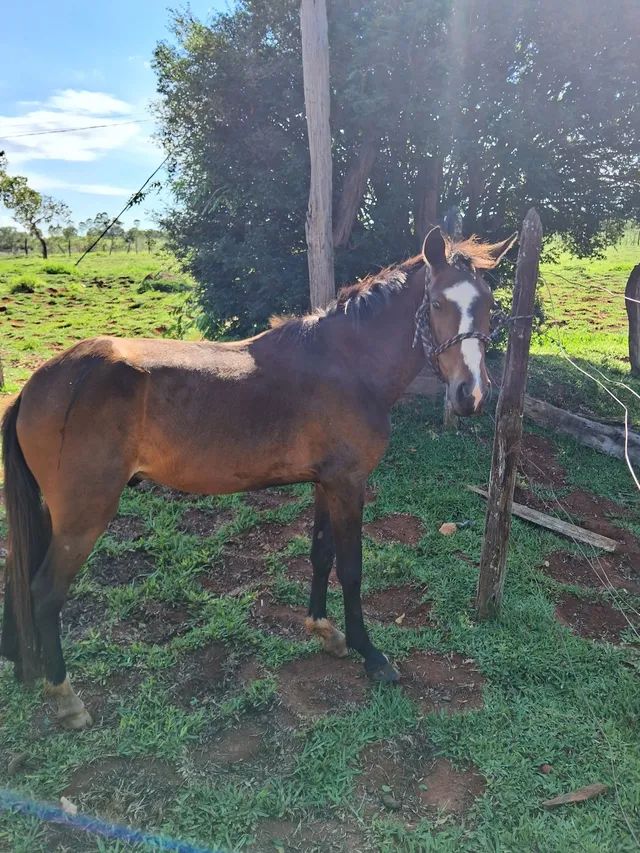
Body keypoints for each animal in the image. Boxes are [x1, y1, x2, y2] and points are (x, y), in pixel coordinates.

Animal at [0, 225, 516, 724]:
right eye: (437, 304)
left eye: (489, 304)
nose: (470, 394)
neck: (347, 365)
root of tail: (35, 385)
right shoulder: (349, 485)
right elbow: (351, 568)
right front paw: (369, 654)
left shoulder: (326, 483)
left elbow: (321, 555)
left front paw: (323, 629)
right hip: (84, 516)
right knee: (45, 592)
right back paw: (66, 698)